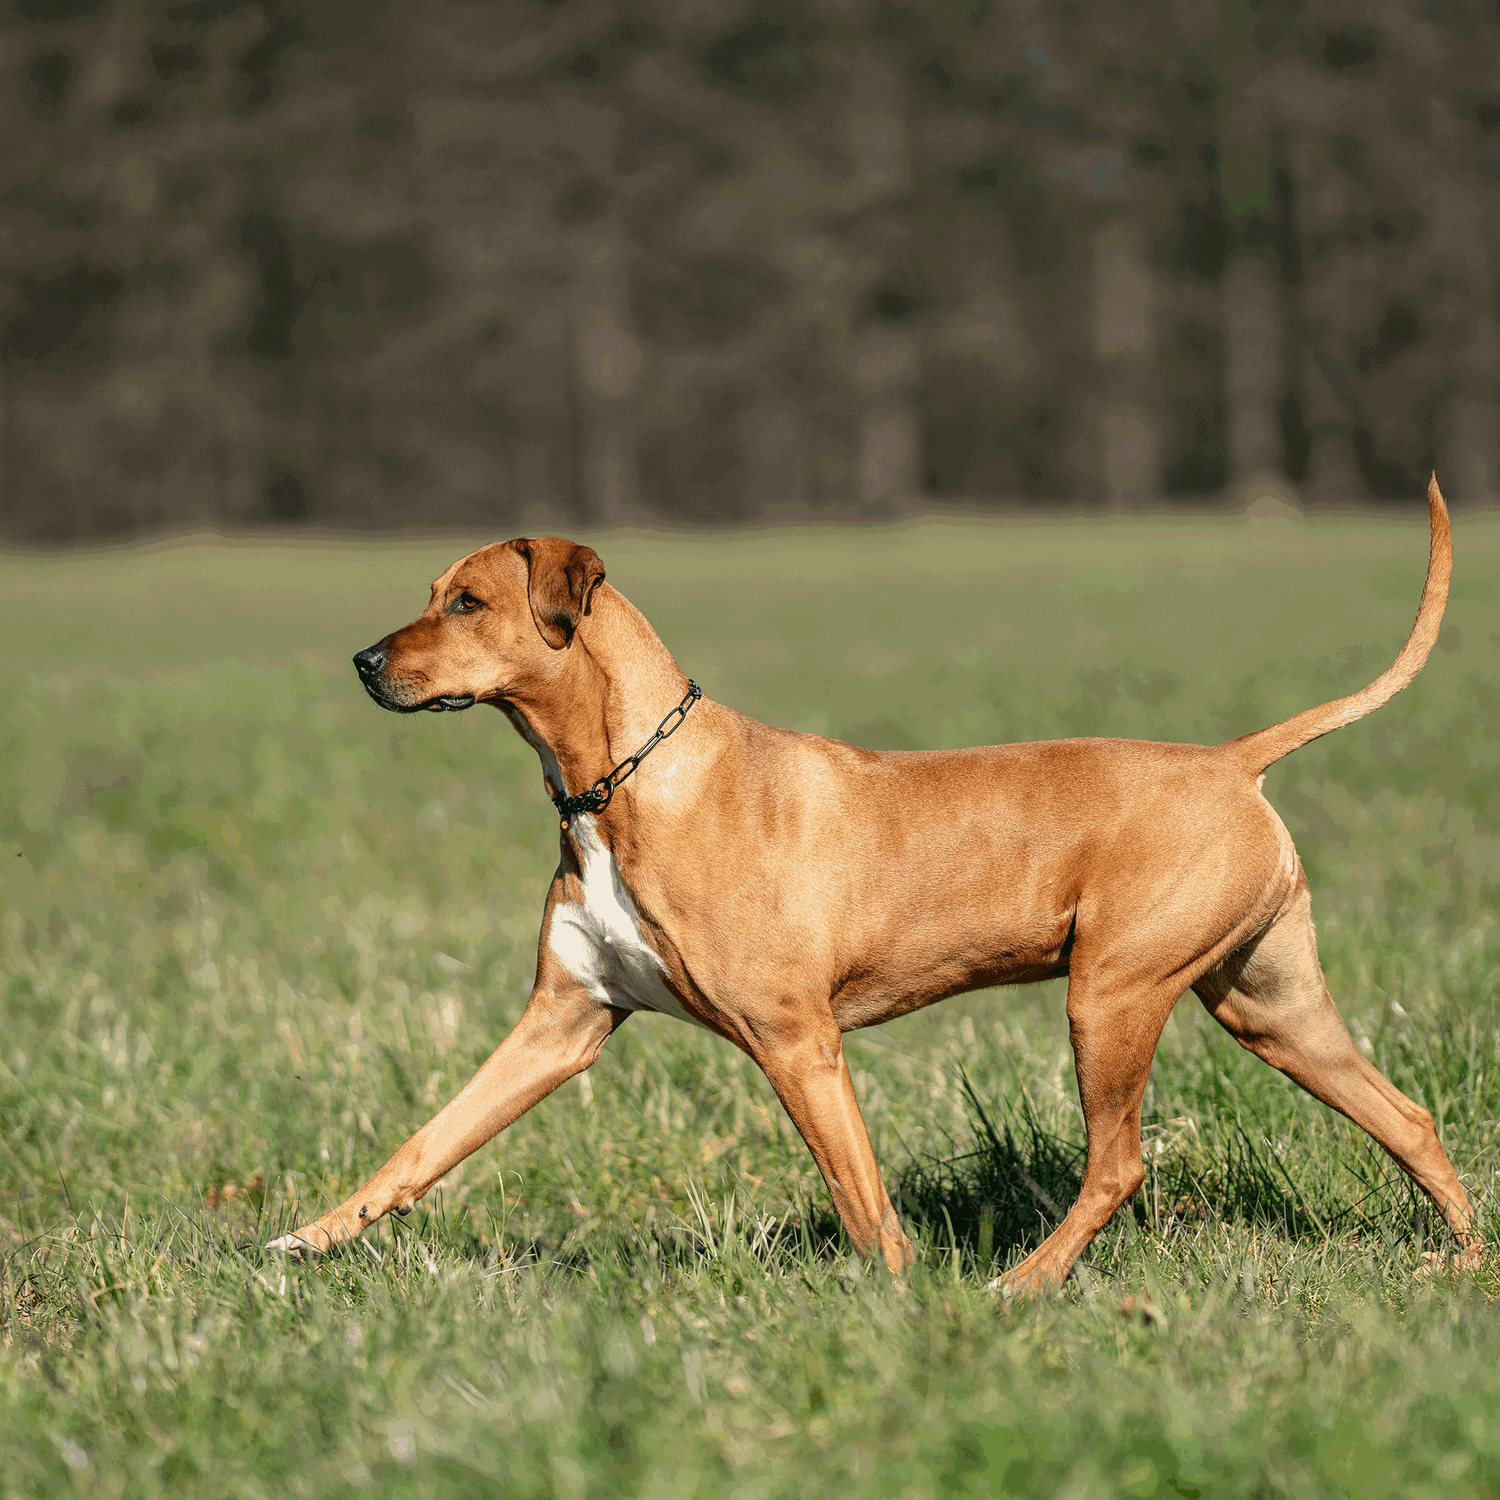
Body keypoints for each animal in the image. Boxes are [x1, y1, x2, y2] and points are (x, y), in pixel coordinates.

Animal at [267, 477, 1476, 1290]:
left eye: (468, 603)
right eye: (433, 594)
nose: (364, 663)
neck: (624, 783)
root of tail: (1231, 761)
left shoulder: (796, 1041)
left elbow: (859, 1194)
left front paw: (899, 1302)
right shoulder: (562, 1021)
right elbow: (424, 1145)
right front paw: (305, 1240)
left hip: (1113, 996)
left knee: (1120, 1164)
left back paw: (1022, 1286)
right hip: (1270, 1005)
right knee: (1408, 1117)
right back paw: (1465, 1262)